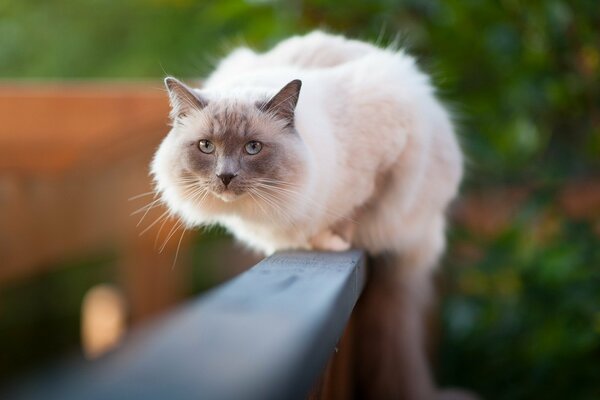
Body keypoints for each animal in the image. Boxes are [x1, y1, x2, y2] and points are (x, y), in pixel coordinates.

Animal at [151, 30, 468, 400]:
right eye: (206, 147)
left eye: (253, 148)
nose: (225, 176)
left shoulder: (383, 164)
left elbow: (351, 212)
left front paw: (332, 240)